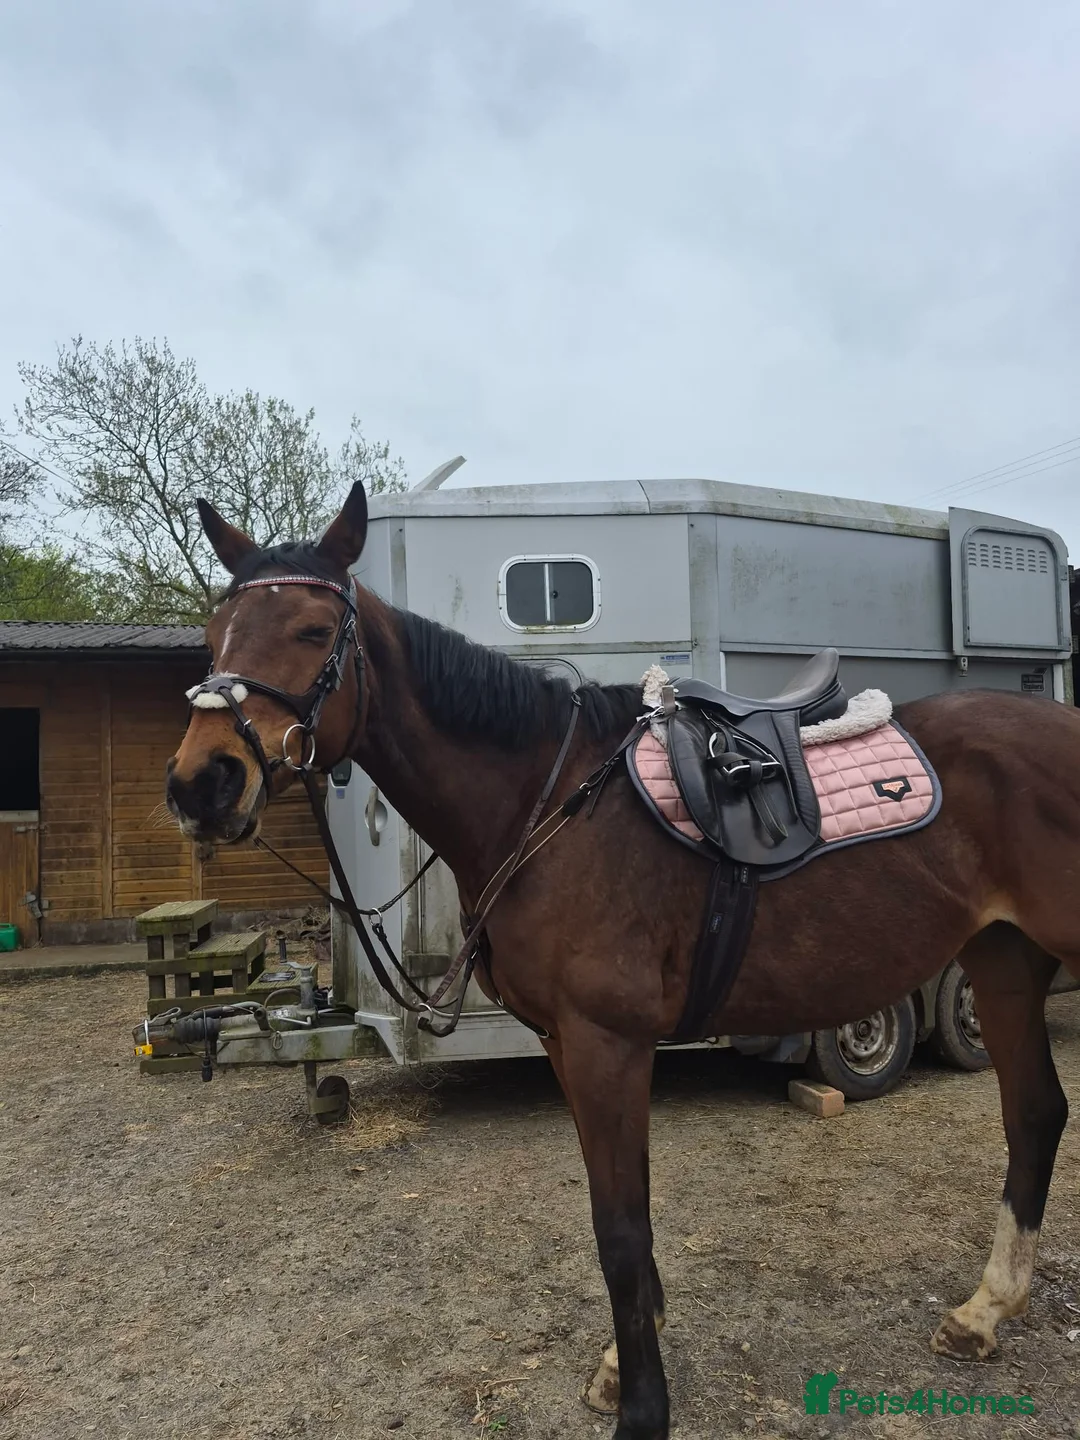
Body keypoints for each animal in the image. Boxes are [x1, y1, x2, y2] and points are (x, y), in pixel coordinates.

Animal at [166, 482, 1079, 1440]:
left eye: (313, 630)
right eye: (215, 634)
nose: (202, 784)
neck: (547, 805)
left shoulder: (609, 1044)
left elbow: (620, 1228)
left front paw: (643, 1405)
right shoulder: (568, 1045)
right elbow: (620, 1212)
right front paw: (626, 1359)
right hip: (1001, 960)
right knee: (1034, 1113)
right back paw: (985, 1311)